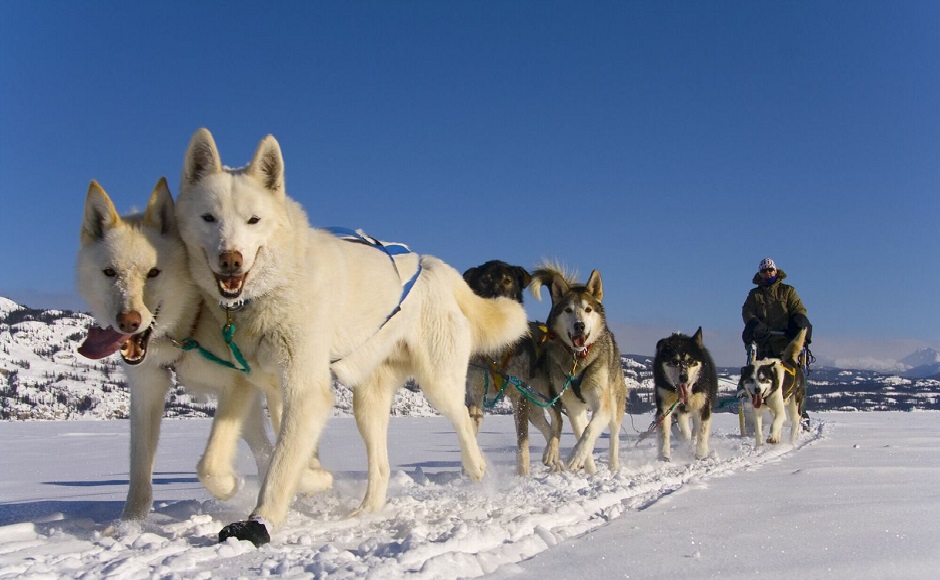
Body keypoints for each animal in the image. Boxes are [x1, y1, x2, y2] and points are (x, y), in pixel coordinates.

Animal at [78, 178, 274, 520]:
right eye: (110, 272)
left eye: (153, 272)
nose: (128, 321)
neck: (189, 323)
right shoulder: (147, 390)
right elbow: (140, 472)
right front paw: (129, 525)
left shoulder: (235, 386)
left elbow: (209, 464)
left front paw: (231, 487)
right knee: (266, 449)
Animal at [176, 128, 528, 544]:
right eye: (209, 218)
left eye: (253, 220)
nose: (230, 259)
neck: (276, 284)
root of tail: (429, 263)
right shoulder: (269, 384)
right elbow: (232, 461)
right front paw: (310, 478)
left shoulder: (305, 389)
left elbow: (281, 464)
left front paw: (261, 520)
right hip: (367, 403)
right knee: (381, 466)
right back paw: (364, 510)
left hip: (437, 382)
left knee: (462, 416)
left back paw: (476, 467)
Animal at [528, 266, 624, 474]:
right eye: (568, 310)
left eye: (588, 309)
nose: (579, 325)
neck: (578, 360)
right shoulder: (573, 408)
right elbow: (583, 432)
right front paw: (589, 469)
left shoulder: (602, 403)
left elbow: (590, 430)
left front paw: (576, 455)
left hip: (615, 403)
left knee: (614, 436)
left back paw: (613, 467)